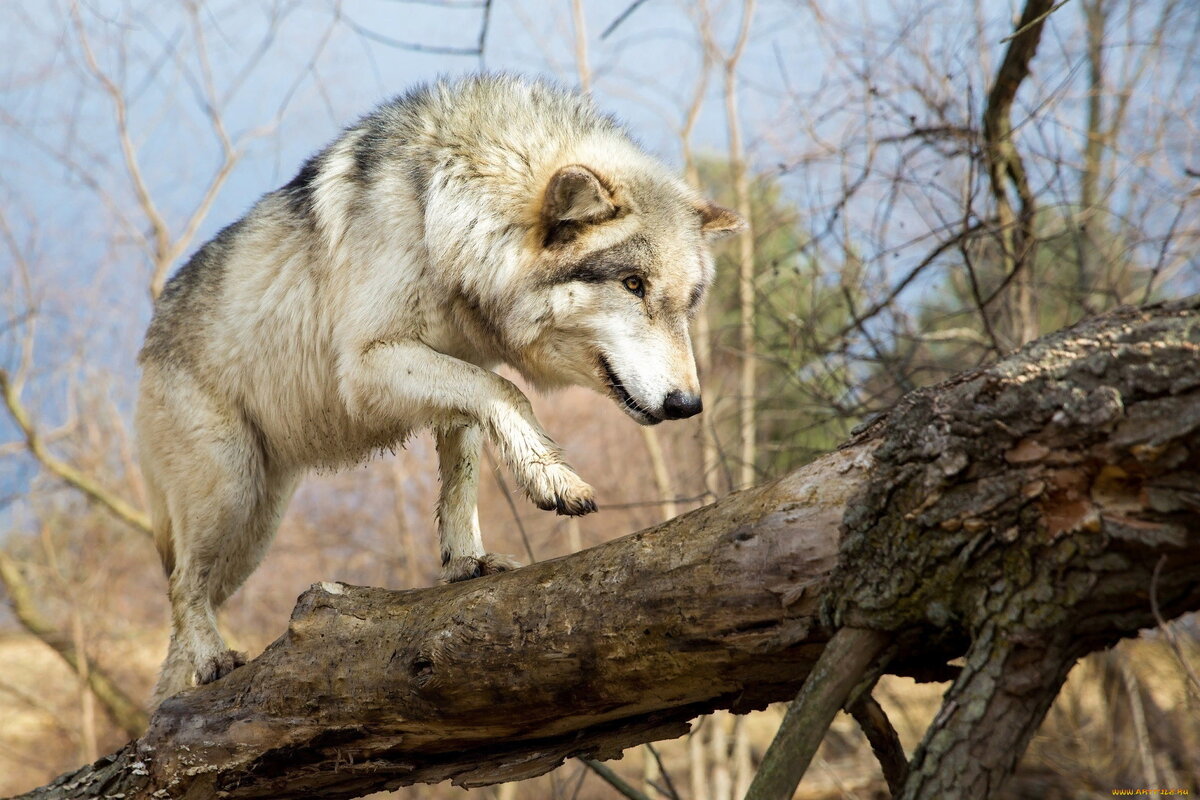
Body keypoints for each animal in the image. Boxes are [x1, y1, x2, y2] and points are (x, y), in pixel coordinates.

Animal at [136, 71, 744, 705]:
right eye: (632, 284)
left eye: (688, 302)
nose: (688, 405)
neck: (444, 217)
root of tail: (147, 341)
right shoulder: (370, 365)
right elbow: (508, 394)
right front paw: (552, 480)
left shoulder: (456, 371)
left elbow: (463, 473)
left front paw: (465, 562)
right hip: (230, 495)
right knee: (180, 585)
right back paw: (212, 661)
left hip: (256, 529)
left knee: (186, 609)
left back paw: (172, 699)